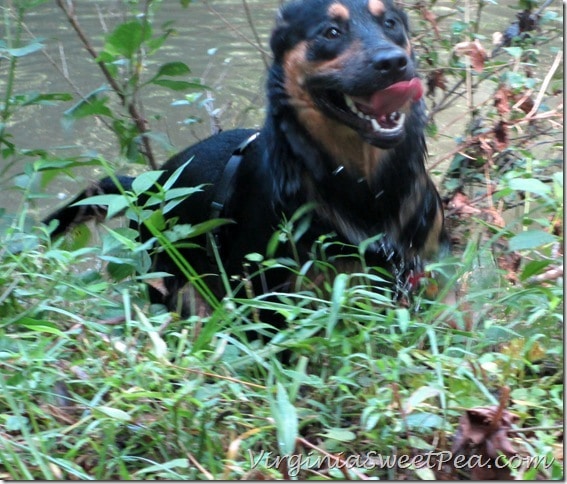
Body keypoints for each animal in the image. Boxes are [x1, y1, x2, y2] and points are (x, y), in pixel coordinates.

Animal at [43, 0, 448, 318]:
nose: (394, 63)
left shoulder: (423, 275)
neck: (367, 187)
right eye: (331, 32)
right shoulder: (273, 297)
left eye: (391, 23)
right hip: (172, 283)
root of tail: (150, 183)